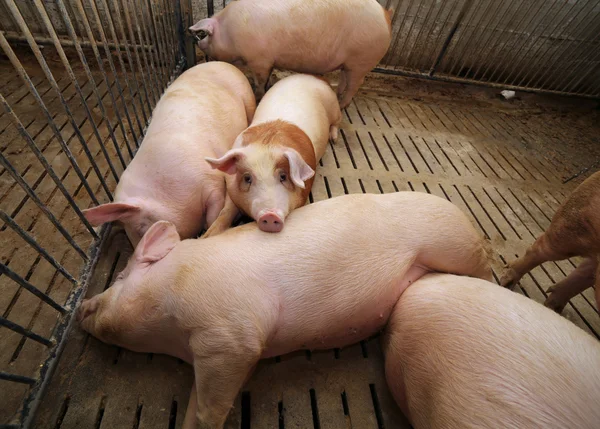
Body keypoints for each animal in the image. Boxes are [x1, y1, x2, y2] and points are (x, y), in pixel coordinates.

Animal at [77, 191, 492, 428]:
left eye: (120, 276)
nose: (81, 305)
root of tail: (465, 217)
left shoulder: (230, 336)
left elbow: (212, 405)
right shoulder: (228, 353)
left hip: (455, 248)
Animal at [189, 0, 394, 108]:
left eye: (205, 36)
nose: (198, 43)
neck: (228, 32)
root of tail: (385, 15)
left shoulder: (260, 59)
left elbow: (260, 80)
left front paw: (258, 94)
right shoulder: (268, 60)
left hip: (361, 61)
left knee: (355, 84)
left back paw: (342, 104)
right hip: (349, 63)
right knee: (344, 79)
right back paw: (337, 95)